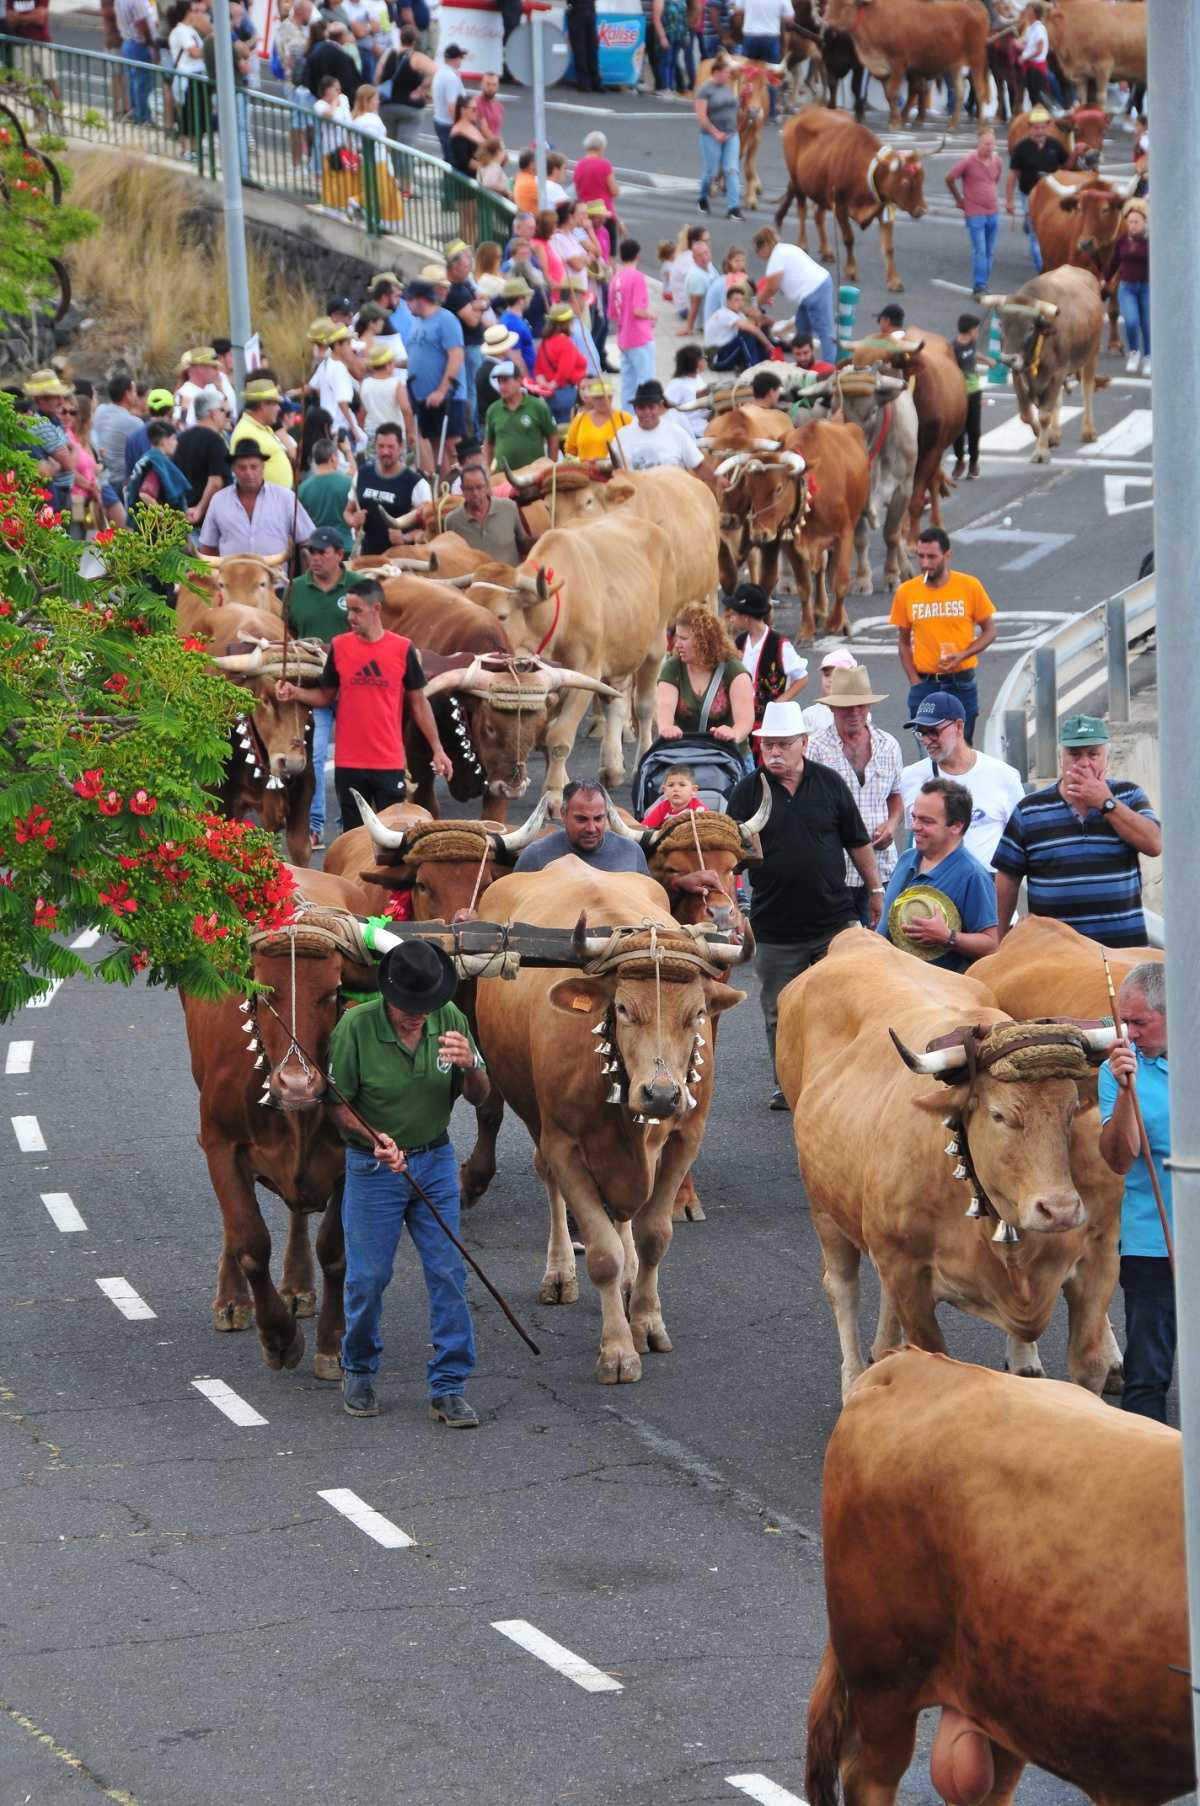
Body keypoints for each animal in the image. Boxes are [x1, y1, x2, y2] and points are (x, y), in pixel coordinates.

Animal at [473, 859, 744, 1379]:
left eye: (698, 1012)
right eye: (621, 1008)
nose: (662, 1094)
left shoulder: (685, 1139)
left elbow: (655, 1235)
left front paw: (647, 1323)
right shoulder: (563, 1143)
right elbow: (601, 1254)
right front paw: (617, 1349)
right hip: (533, 1115)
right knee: (551, 1182)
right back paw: (560, 1272)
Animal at [773, 931, 1120, 1408]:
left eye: (1071, 1110)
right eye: (999, 1115)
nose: (1061, 1210)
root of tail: (856, 938)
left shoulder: (1099, 1255)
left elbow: (1089, 1364)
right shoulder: (906, 1270)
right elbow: (930, 1355)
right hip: (824, 1207)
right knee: (842, 1288)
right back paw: (855, 1378)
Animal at [777, 107, 925, 294]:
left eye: (922, 180)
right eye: (906, 182)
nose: (921, 210)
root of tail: (803, 113)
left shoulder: (885, 207)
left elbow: (889, 248)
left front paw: (894, 280)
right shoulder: (839, 205)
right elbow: (849, 238)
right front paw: (851, 270)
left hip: (820, 188)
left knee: (818, 215)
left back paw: (825, 250)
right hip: (798, 182)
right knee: (802, 210)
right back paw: (802, 243)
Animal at [820, 0, 990, 131]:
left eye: (846, 4)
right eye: (829, 3)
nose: (826, 24)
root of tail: (976, 6)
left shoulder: (898, 63)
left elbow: (893, 92)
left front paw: (895, 123)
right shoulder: (883, 70)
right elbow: (889, 95)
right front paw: (895, 119)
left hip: (976, 59)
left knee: (980, 90)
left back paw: (981, 126)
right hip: (955, 65)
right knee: (959, 92)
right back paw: (952, 125)